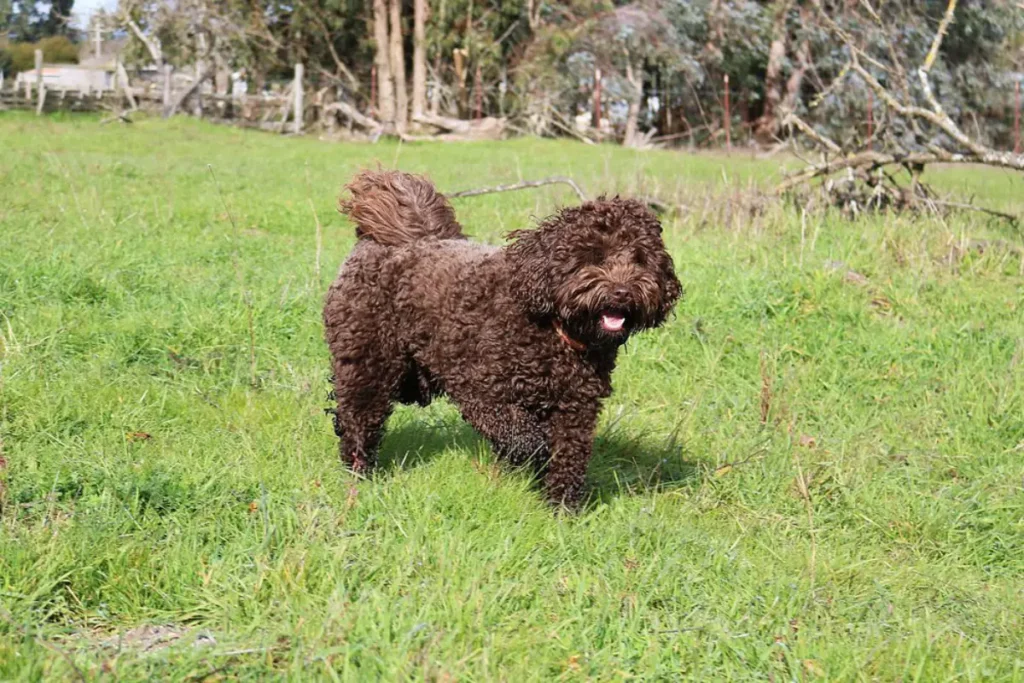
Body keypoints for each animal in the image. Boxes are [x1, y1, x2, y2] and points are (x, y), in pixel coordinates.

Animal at [325, 172, 679, 507]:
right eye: (594, 254)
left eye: (639, 258)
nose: (622, 292)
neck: (555, 331)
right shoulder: (482, 391)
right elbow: (525, 438)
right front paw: (533, 462)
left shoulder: (575, 408)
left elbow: (568, 458)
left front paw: (562, 510)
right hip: (367, 363)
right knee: (357, 419)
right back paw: (359, 472)